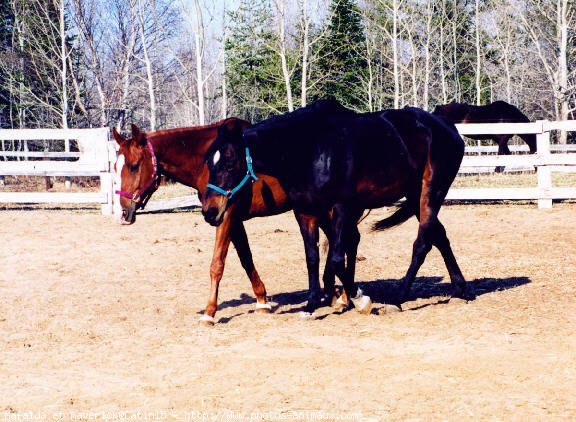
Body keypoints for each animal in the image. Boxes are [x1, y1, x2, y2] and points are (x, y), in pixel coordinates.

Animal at [112, 120, 342, 324]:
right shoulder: (233, 220)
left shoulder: (225, 217)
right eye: (114, 167)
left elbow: (217, 264)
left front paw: (209, 312)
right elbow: (246, 259)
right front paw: (262, 301)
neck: (207, 163)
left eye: (134, 166)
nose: (123, 213)